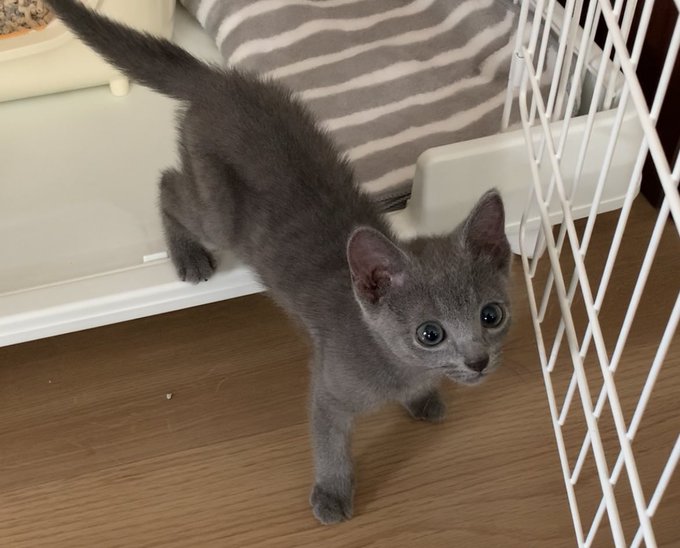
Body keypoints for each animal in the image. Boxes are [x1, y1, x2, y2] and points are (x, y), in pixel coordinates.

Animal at [47, 0, 512, 525]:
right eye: (430, 333)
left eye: (490, 315)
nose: (477, 361)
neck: (396, 362)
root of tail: (216, 79)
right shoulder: (329, 393)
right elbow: (330, 445)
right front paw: (332, 494)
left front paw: (424, 399)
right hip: (219, 213)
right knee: (168, 183)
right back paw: (188, 253)